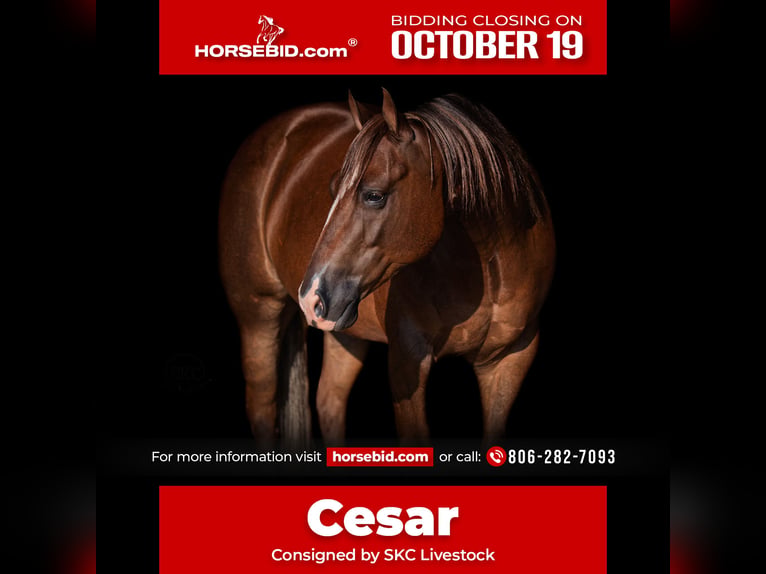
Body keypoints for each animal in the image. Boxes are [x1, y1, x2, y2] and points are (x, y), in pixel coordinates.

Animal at [219, 89, 555, 447]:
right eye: (332, 190)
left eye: (374, 195)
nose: (311, 298)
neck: (490, 268)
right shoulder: (407, 361)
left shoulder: (509, 362)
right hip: (258, 316)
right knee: (263, 410)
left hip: (345, 333)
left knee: (329, 401)